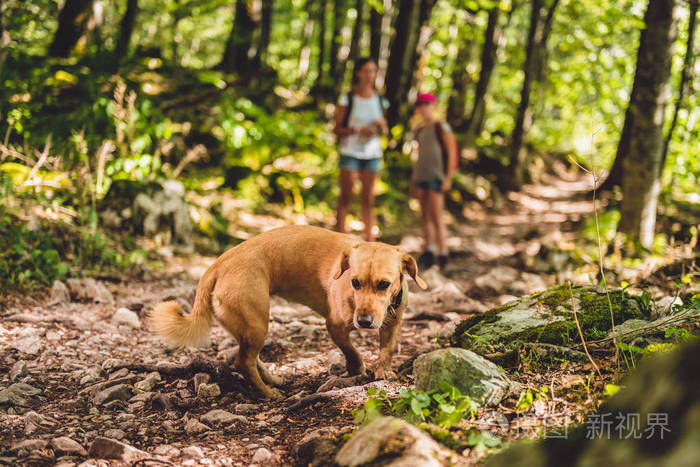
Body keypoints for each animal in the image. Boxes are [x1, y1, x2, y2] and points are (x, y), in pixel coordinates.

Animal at [149, 226, 426, 398]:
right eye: (355, 282)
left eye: (384, 284)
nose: (365, 321)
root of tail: (217, 264)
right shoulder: (334, 326)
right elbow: (352, 350)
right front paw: (356, 368)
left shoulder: (393, 323)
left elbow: (386, 349)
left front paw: (383, 370)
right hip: (258, 323)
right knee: (243, 361)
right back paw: (267, 392)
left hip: (247, 327)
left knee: (249, 357)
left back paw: (271, 380)